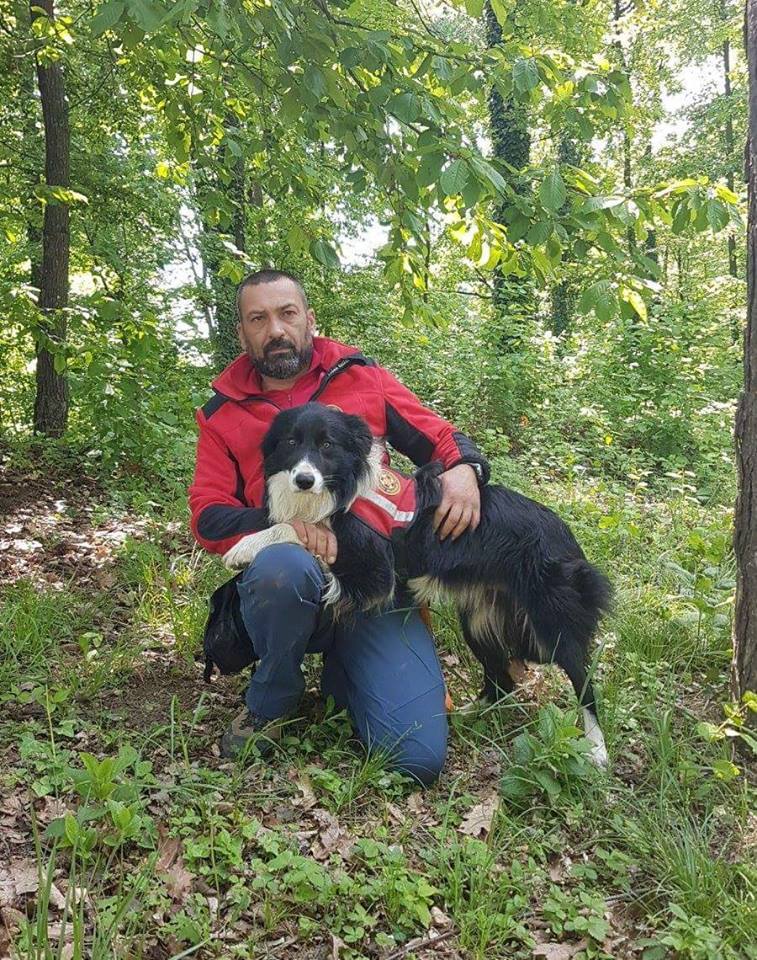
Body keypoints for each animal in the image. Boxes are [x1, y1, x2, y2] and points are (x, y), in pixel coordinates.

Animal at [224, 403, 612, 766]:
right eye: (291, 442)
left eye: (327, 445)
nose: (304, 480)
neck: (341, 488)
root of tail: (567, 537)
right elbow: (300, 527)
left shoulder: (374, 572)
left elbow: (298, 531)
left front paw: (244, 546)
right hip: (478, 621)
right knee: (502, 681)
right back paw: (467, 716)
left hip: (552, 623)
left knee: (584, 682)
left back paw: (596, 749)